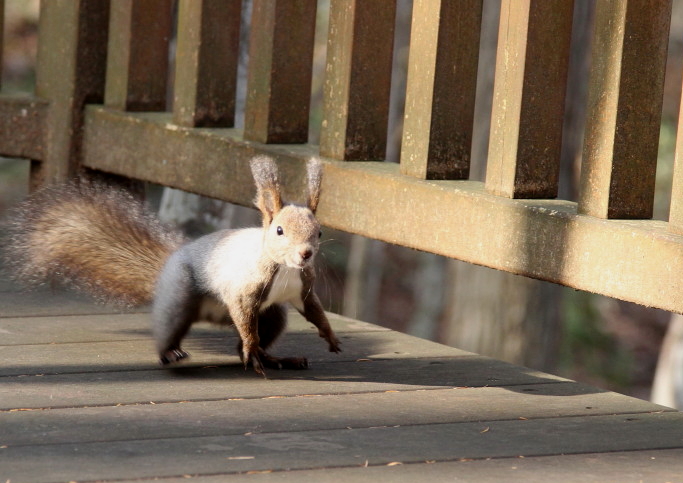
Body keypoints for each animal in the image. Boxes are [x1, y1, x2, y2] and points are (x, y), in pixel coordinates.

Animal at [6, 157, 342, 376]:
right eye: (279, 231)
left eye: (319, 232)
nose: (305, 254)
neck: (283, 268)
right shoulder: (243, 287)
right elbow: (244, 316)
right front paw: (251, 345)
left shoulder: (304, 288)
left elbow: (315, 311)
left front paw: (330, 337)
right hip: (181, 295)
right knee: (173, 327)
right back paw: (173, 352)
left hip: (272, 316)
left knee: (260, 336)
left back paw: (274, 358)